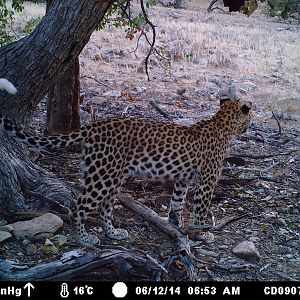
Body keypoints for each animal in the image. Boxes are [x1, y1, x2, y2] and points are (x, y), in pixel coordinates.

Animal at [0, 96, 253, 246]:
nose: (248, 126)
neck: (222, 124)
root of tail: (94, 126)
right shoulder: (207, 181)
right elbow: (201, 209)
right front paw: (202, 233)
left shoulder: (182, 180)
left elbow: (176, 203)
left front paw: (175, 226)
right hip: (103, 176)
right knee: (78, 209)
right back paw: (85, 239)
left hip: (110, 176)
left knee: (103, 209)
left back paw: (113, 233)